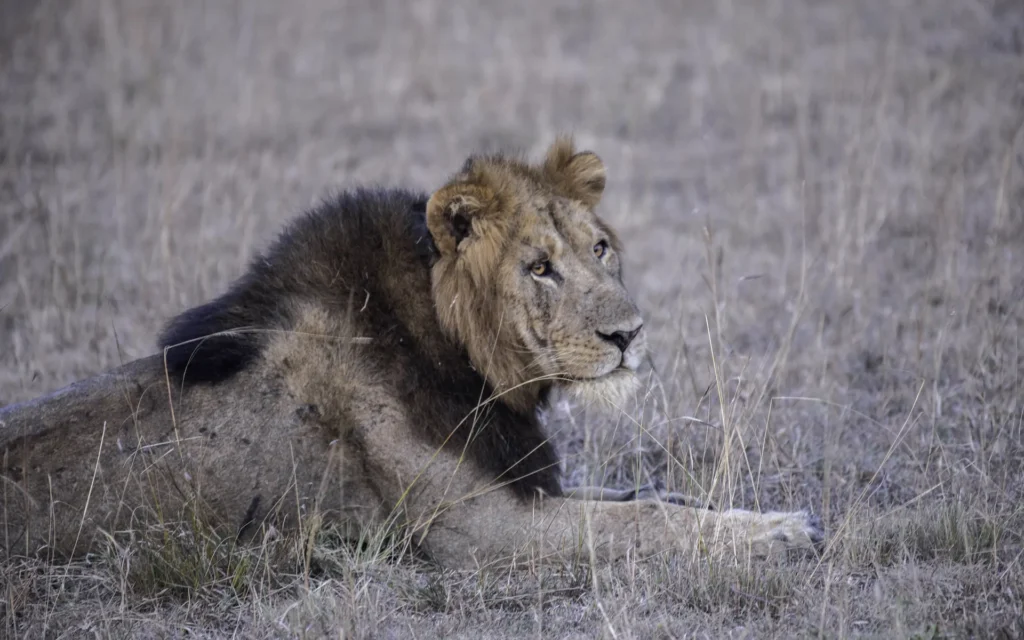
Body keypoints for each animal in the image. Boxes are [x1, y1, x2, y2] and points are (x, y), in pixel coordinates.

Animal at [0, 138, 823, 568]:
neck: (475, 365)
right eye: (539, 267)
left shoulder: (526, 483)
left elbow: (648, 497)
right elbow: (643, 522)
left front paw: (751, 513)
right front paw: (781, 531)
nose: (630, 334)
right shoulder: (482, 534)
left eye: (600, 249)